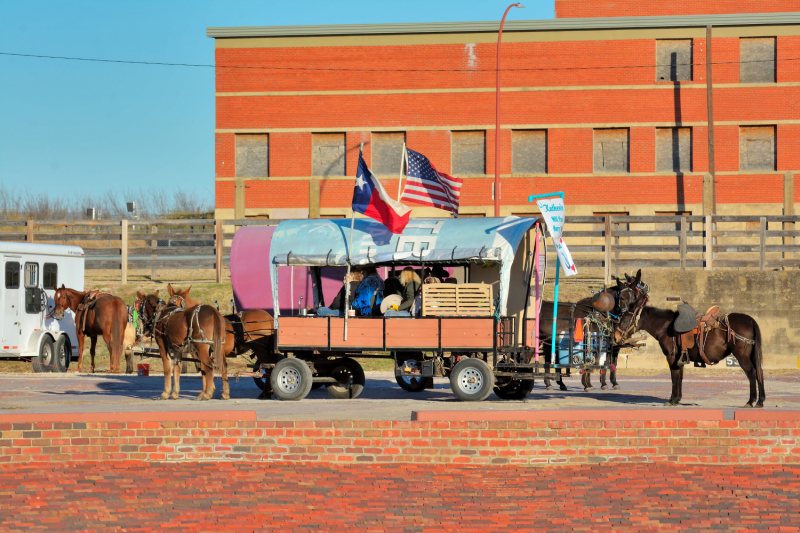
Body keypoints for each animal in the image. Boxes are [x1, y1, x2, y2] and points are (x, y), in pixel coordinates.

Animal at [608, 274, 764, 408]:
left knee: (751, 373)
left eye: (625, 318)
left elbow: (674, 377)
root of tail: (750, 319)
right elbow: (680, 377)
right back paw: (760, 401)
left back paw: (751, 401)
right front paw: (677, 399)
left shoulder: (672, 356)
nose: (615, 336)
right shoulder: (680, 357)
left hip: (742, 355)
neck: (667, 326)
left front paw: (671, 399)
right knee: (759, 372)